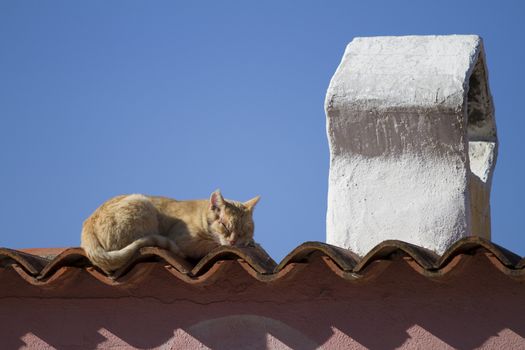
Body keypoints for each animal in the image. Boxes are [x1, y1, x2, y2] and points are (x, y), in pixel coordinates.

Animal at [81, 189, 258, 274]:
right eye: (224, 225)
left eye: (243, 230)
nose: (233, 241)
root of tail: (87, 224)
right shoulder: (184, 241)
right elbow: (213, 245)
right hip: (142, 204)